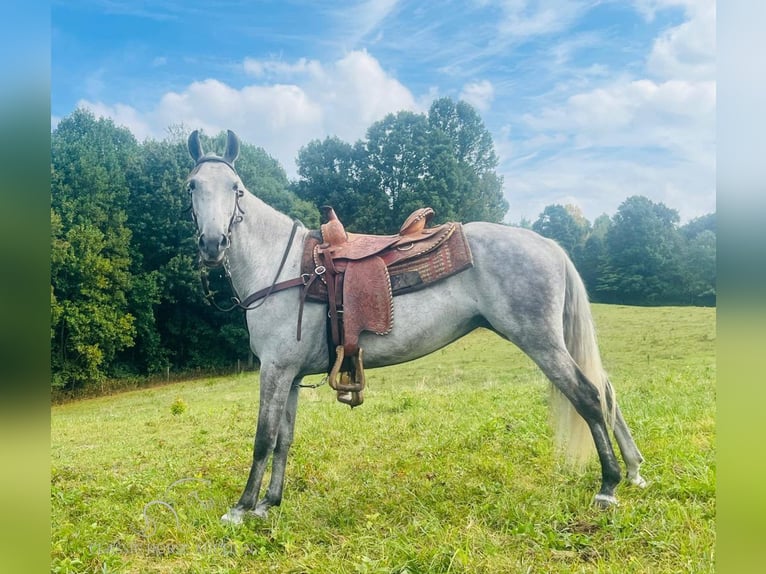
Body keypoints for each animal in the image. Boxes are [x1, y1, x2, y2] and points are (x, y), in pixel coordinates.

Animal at [186, 130, 648, 528]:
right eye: (192, 186)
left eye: (236, 187)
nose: (213, 243)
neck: (282, 267)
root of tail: (548, 244)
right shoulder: (292, 375)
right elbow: (284, 438)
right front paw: (269, 503)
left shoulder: (275, 370)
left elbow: (263, 438)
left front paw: (241, 507)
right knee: (605, 390)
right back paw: (633, 470)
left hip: (541, 342)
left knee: (588, 395)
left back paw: (608, 486)